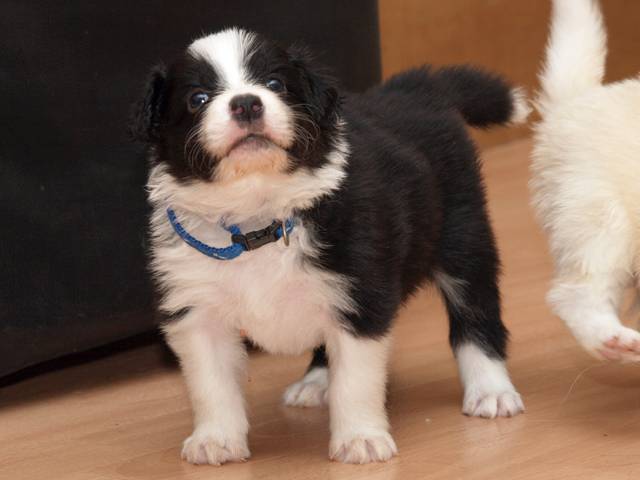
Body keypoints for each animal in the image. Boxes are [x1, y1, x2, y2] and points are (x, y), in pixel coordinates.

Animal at [130, 28, 527, 465]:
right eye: (197, 98)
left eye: (275, 84)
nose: (247, 103)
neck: (257, 218)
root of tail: (414, 87)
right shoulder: (197, 308)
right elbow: (211, 383)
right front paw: (215, 439)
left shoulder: (361, 292)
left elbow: (355, 380)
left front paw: (360, 439)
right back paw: (317, 380)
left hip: (463, 234)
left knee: (475, 314)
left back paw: (490, 390)